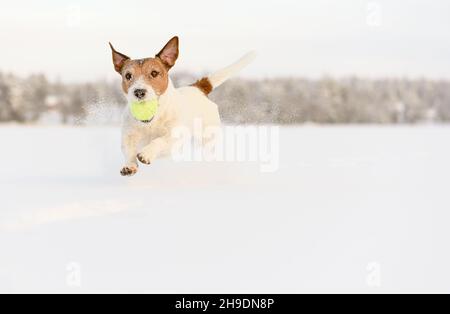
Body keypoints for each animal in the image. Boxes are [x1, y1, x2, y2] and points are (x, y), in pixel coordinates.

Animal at [109, 36, 256, 177]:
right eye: (128, 76)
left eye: (154, 73)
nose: (139, 92)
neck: (152, 119)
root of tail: (197, 88)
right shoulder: (128, 136)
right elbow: (129, 151)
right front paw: (129, 166)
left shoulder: (174, 137)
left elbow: (160, 140)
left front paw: (147, 153)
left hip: (206, 137)